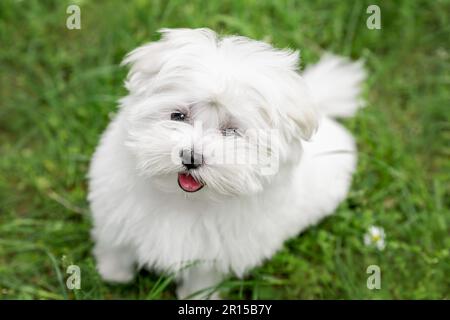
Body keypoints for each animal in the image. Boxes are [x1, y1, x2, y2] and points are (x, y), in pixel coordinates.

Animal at [87, 28, 366, 300]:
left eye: (231, 132)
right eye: (178, 116)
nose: (191, 157)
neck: (183, 200)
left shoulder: (214, 255)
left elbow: (202, 279)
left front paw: (197, 298)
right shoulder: (117, 213)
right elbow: (117, 247)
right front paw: (113, 274)